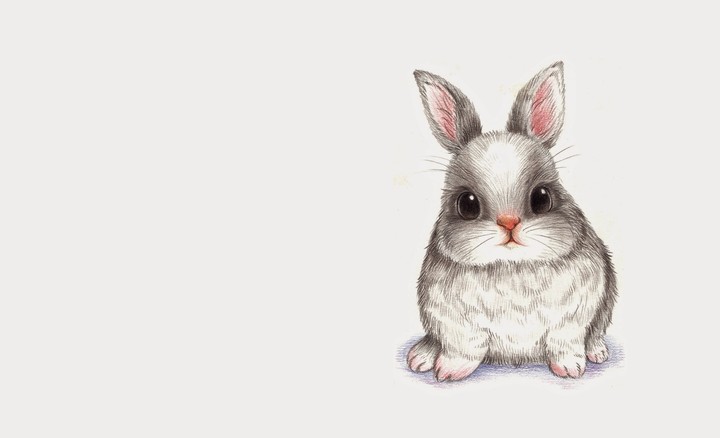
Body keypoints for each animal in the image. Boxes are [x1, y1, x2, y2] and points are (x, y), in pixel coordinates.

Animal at [407, 62, 617, 381]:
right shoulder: (454, 321)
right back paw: (421, 356)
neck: (512, 265)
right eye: (467, 204)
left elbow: (564, 343)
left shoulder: (572, 318)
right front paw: (449, 371)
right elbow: (463, 348)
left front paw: (569, 369)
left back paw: (596, 352)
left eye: (542, 197)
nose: (509, 223)